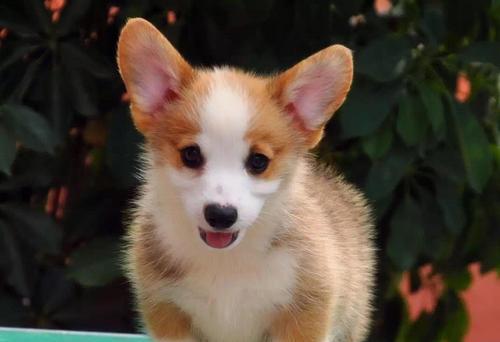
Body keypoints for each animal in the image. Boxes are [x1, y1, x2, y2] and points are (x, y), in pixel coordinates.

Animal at [117, 18, 376, 342]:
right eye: (191, 155)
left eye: (258, 161)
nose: (221, 215)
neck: (227, 262)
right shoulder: (167, 311)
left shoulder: (305, 310)